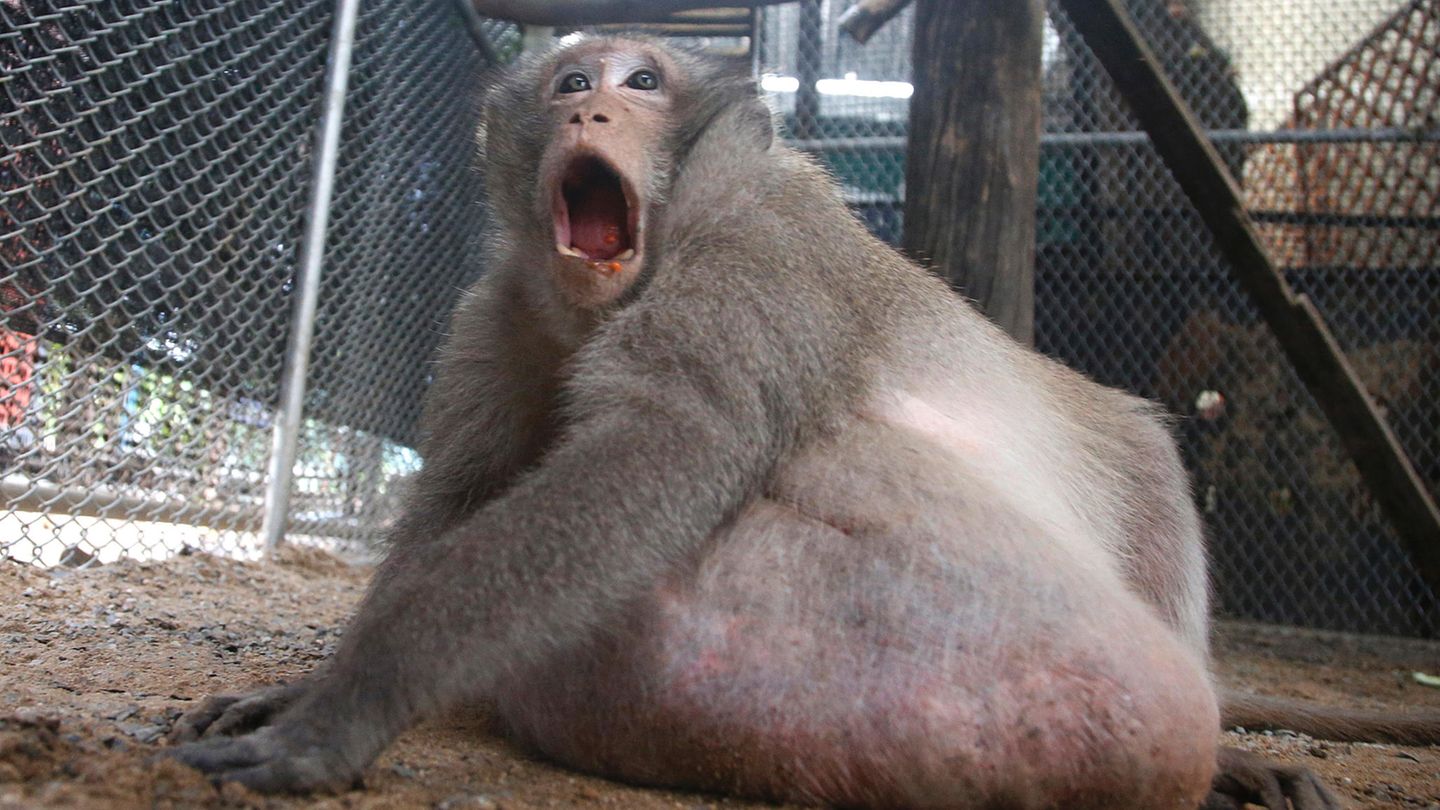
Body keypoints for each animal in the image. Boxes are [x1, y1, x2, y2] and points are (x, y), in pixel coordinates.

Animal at [165, 35, 1434, 809]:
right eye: (570, 78)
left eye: (642, 79)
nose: (590, 102)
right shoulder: (505, 311)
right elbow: (466, 490)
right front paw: (307, 687)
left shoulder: (752, 266)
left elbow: (669, 448)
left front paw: (348, 706)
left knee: (1147, 460)